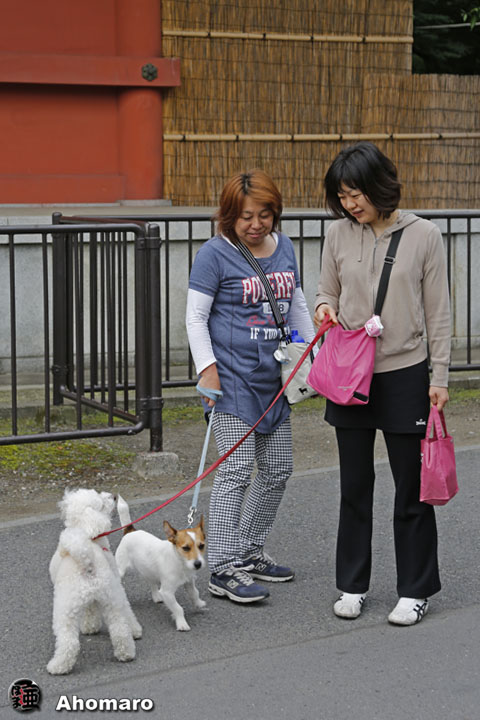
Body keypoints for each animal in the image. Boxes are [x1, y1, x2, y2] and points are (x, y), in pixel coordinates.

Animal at [47, 488, 142, 675]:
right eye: (101, 502)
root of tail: (87, 563)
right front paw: (91, 627)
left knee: (70, 641)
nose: (113, 496)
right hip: (107, 599)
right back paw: (126, 654)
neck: (87, 534)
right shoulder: (115, 589)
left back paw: (59, 666)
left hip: (68, 607)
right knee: (119, 629)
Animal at [115, 495, 207, 631]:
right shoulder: (167, 592)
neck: (179, 562)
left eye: (201, 546)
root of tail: (130, 531)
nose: (198, 564)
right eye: (186, 548)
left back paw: (156, 596)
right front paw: (181, 623)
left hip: (148, 569)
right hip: (120, 570)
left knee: (151, 582)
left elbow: (195, 593)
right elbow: (178, 608)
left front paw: (198, 603)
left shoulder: (189, 582)